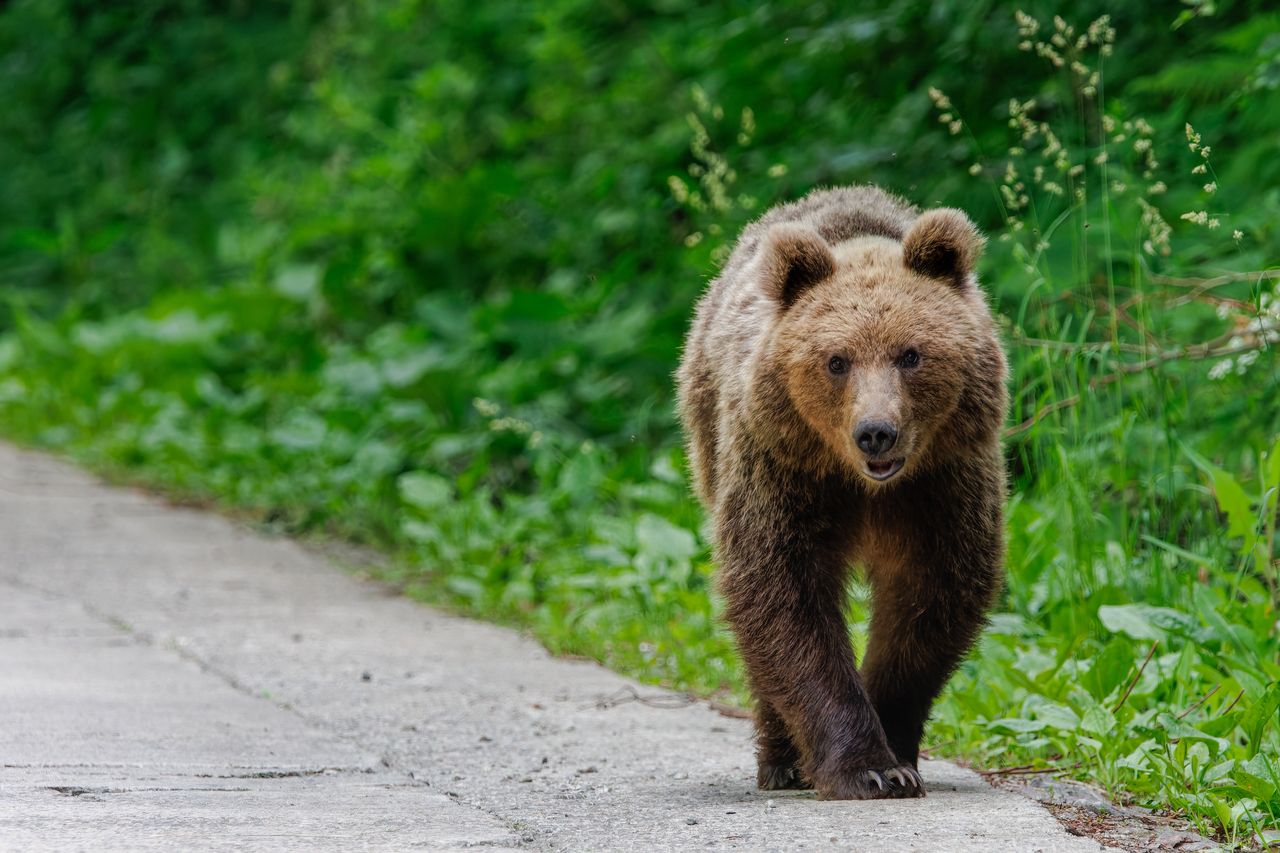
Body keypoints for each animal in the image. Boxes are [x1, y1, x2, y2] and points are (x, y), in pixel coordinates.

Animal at [675, 184, 1003, 799]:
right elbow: (782, 595)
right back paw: (782, 762)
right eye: (836, 361)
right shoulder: (785, 472)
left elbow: (931, 596)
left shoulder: (943, 483)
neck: (864, 486)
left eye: (910, 354)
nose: (876, 432)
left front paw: (898, 754)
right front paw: (866, 767)